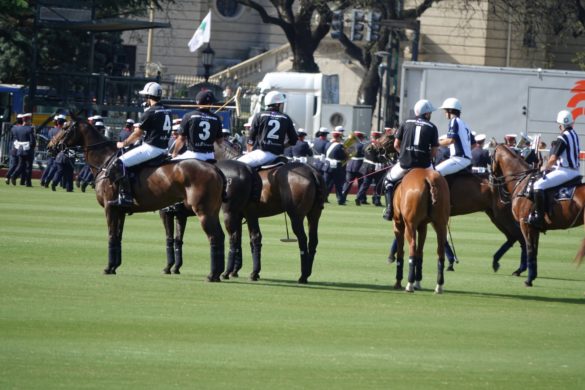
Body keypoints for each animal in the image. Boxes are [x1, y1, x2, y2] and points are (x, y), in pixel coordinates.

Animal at [48, 120, 226, 282]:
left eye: (65, 127)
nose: (50, 147)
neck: (105, 161)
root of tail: (214, 168)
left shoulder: (110, 208)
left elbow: (111, 236)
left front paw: (108, 267)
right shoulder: (120, 210)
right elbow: (118, 237)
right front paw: (114, 266)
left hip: (203, 211)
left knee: (214, 237)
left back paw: (212, 275)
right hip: (212, 211)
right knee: (221, 236)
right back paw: (218, 274)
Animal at [160, 146, 326, 284]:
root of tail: (311, 171)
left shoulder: (168, 213)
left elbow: (170, 238)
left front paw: (169, 267)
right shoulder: (240, 214)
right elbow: (178, 239)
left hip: (294, 215)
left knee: (302, 239)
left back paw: (302, 275)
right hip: (314, 214)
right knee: (312, 240)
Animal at [490, 145, 584, 288]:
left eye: (490, 157)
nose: (491, 179)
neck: (522, 183)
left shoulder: (525, 224)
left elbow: (530, 250)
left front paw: (529, 279)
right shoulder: (535, 227)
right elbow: (535, 250)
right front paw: (530, 275)